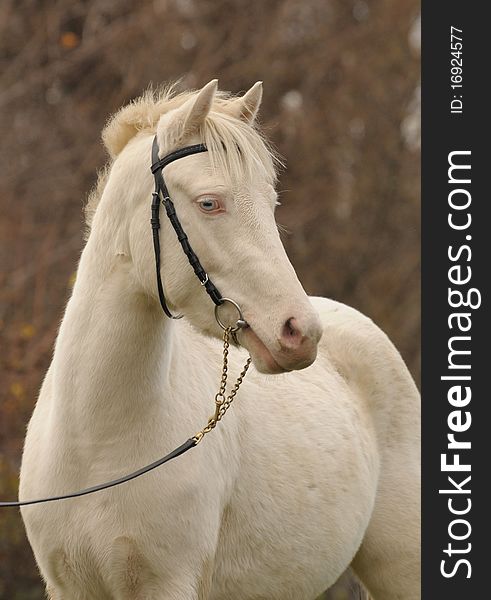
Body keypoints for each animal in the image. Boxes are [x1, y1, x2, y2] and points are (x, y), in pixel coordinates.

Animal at [18, 81, 418, 600]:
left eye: (270, 204)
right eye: (209, 203)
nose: (300, 333)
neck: (96, 445)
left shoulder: (169, 584)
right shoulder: (71, 588)